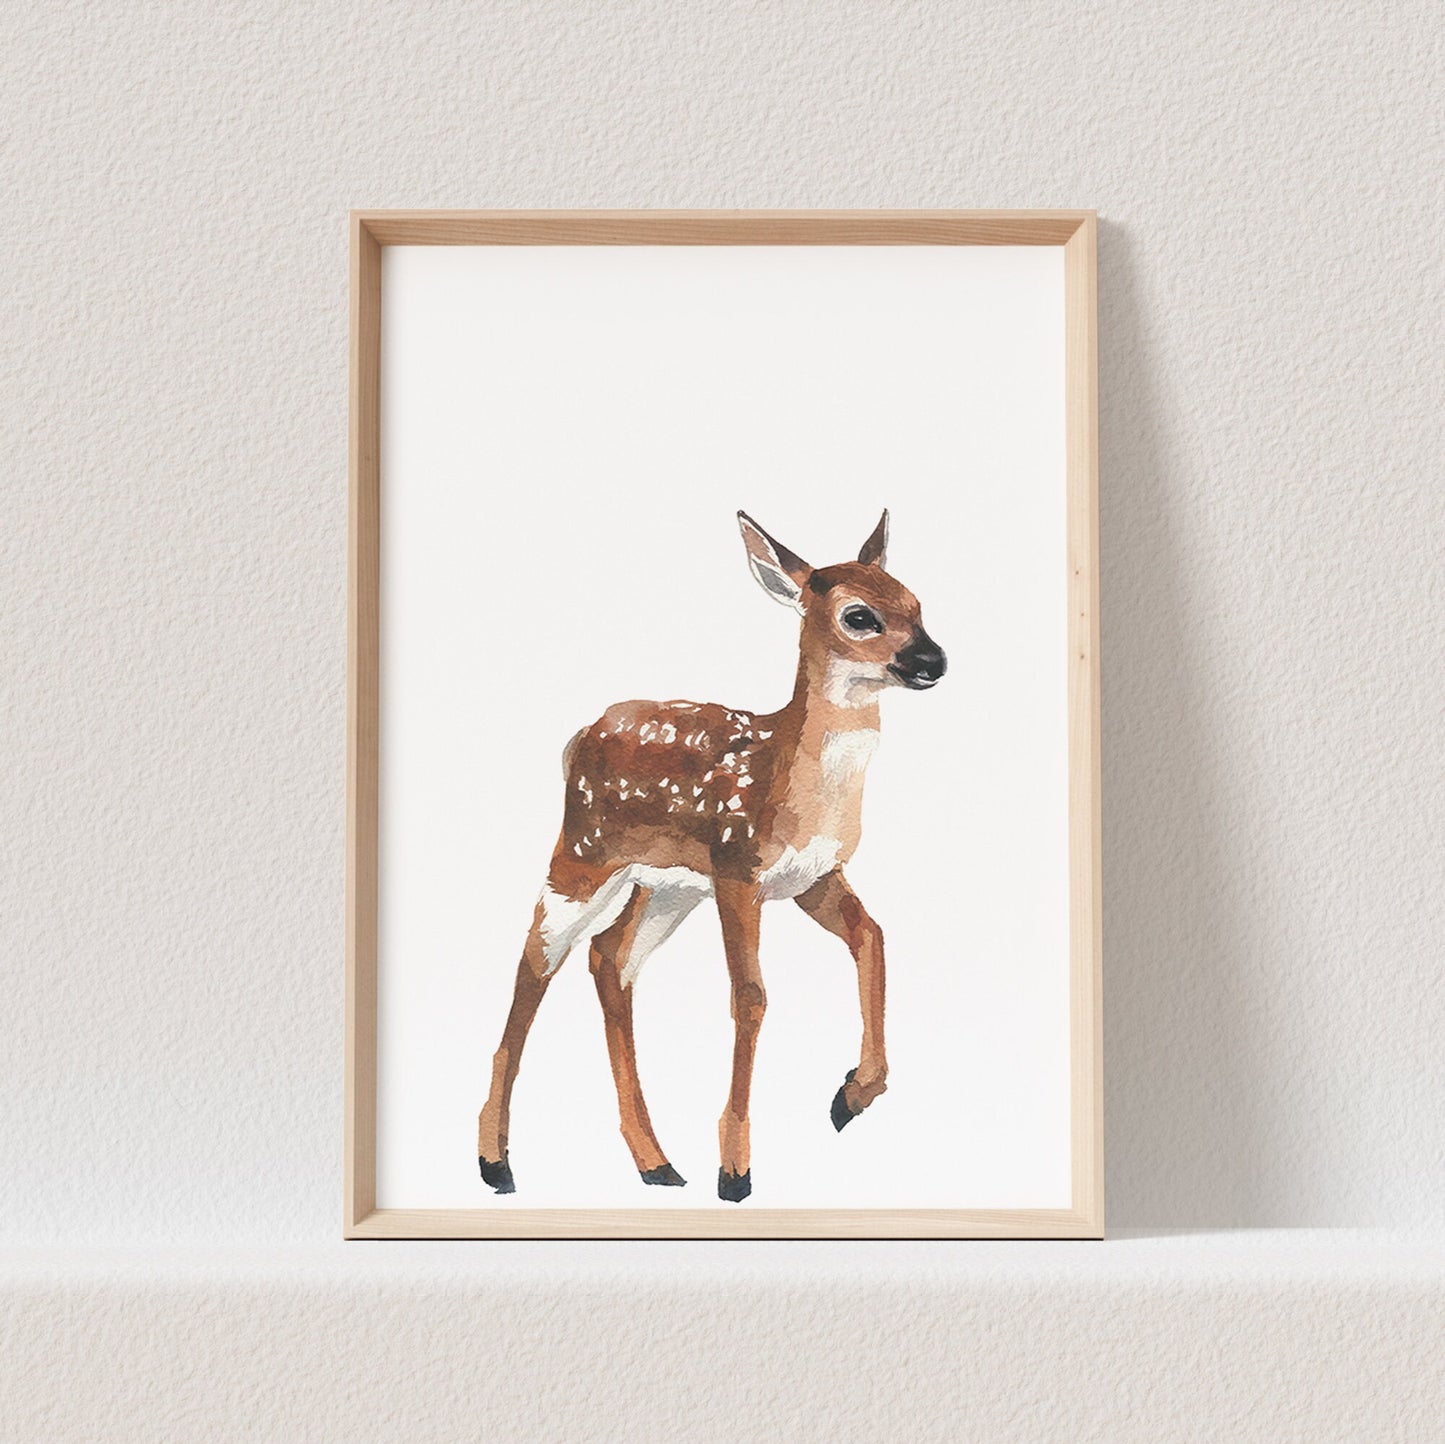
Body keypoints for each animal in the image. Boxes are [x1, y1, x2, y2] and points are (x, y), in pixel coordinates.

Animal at [477, 510, 946, 1202]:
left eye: (917, 604)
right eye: (860, 616)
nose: (933, 659)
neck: (797, 788)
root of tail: (578, 737)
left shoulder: (814, 878)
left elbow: (872, 935)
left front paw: (852, 1094)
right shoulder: (737, 867)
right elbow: (750, 995)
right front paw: (735, 1170)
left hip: (664, 886)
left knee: (609, 959)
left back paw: (655, 1162)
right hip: (584, 853)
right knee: (536, 961)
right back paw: (496, 1162)